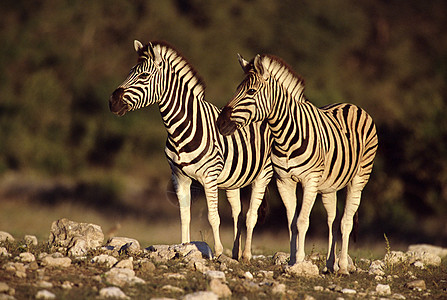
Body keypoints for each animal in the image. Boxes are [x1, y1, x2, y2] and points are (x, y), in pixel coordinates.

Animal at [110, 40, 274, 260]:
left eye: (144, 75)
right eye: (129, 72)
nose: (112, 102)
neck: (180, 129)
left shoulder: (209, 177)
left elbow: (213, 216)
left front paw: (218, 252)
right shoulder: (179, 177)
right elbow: (184, 215)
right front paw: (184, 247)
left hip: (263, 175)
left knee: (251, 215)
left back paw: (246, 255)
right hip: (233, 181)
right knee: (237, 212)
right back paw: (236, 253)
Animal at [217, 54, 378, 274]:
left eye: (251, 91)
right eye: (236, 89)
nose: (220, 123)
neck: (284, 135)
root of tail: (352, 105)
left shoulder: (310, 181)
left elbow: (302, 221)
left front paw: (300, 260)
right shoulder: (284, 181)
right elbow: (292, 222)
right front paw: (292, 261)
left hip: (359, 178)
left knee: (346, 222)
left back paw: (343, 267)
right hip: (329, 186)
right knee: (332, 220)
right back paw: (330, 264)